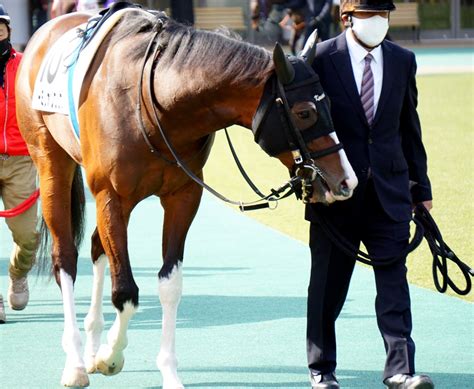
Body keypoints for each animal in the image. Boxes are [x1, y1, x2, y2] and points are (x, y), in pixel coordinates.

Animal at [14, 3, 358, 388]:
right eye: (305, 112)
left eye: (329, 105)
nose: (346, 180)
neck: (153, 100)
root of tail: (45, 32)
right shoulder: (111, 196)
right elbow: (126, 291)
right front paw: (111, 355)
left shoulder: (183, 196)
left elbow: (169, 283)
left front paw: (162, 369)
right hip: (51, 163)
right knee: (66, 259)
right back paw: (75, 361)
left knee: (96, 247)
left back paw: (90, 345)